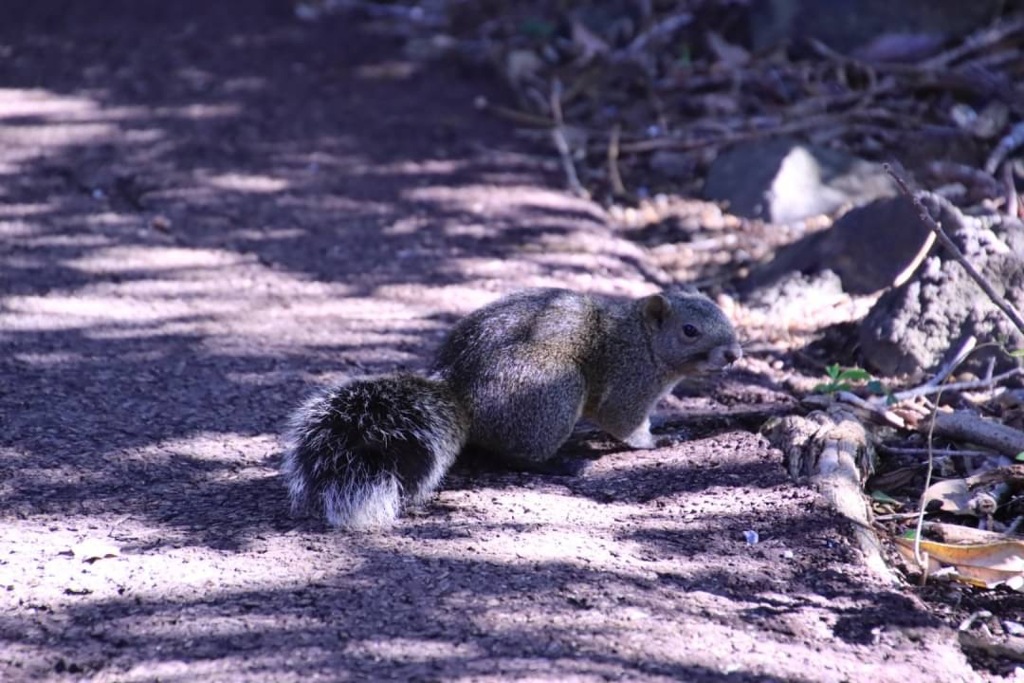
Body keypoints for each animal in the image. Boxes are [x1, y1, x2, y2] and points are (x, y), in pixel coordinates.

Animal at [284, 286, 741, 528]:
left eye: (727, 317)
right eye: (689, 331)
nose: (735, 354)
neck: (643, 340)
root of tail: (459, 390)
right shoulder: (630, 382)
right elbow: (626, 424)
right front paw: (657, 440)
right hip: (554, 390)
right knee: (513, 456)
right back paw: (560, 464)